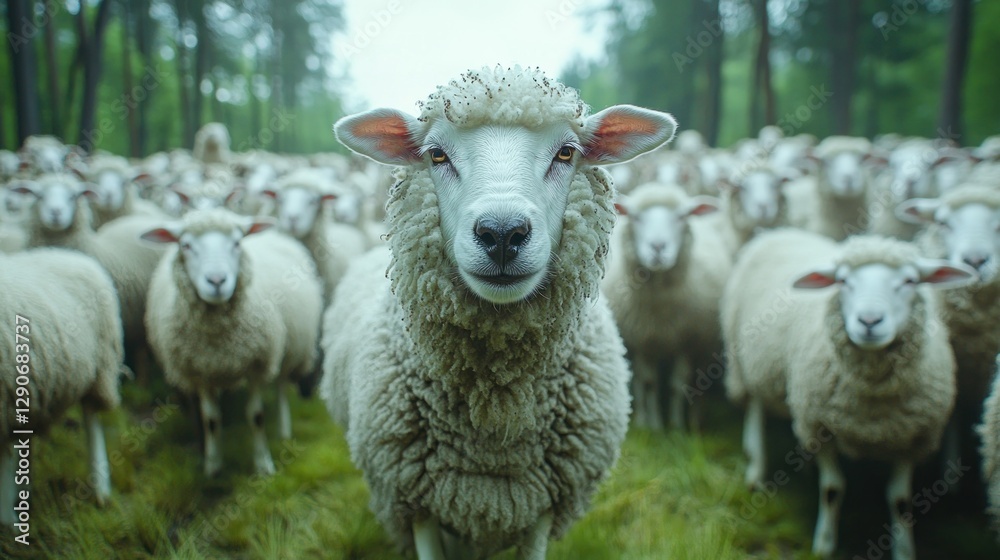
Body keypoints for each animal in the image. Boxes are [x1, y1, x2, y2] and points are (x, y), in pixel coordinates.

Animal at [142, 209, 322, 475]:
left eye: (237, 243)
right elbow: (211, 419)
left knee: (281, 385)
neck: (218, 339)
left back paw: (284, 429)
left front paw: (263, 464)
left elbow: (256, 416)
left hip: (290, 346)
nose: (217, 281)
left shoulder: (258, 363)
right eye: (185, 245)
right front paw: (213, 465)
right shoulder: (199, 371)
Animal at [322, 65, 676, 559]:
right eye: (436, 154)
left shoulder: (544, 500)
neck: (495, 401)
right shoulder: (417, 503)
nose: (503, 234)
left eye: (566, 152)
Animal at [602, 182, 729, 431]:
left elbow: (677, 385)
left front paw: (677, 427)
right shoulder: (643, 340)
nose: (658, 247)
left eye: (682, 216)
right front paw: (652, 425)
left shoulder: (685, 341)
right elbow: (649, 382)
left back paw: (696, 420)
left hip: (704, 344)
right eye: (635, 217)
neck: (658, 312)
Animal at [723, 229, 972, 560]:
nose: (869, 321)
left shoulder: (913, 438)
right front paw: (824, 543)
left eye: (909, 281)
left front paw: (904, 549)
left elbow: (900, 501)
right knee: (754, 407)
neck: (872, 398)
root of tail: (781, 232)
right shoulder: (819, 426)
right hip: (743, 360)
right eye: (843, 281)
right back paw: (755, 467)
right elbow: (832, 489)